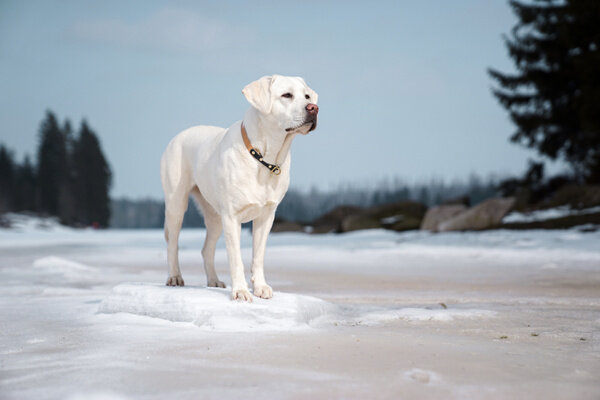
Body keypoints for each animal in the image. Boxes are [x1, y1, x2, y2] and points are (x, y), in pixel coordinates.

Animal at [159, 74, 318, 300]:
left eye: (307, 96)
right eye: (287, 95)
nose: (314, 108)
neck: (264, 156)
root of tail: (178, 135)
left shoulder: (266, 217)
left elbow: (258, 256)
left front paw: (261, 287)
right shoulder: (232, 217)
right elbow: (236, 259)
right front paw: (241, 292)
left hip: (215, 215)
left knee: (206, 250)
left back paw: (214, 281)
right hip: (176, 204)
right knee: (172, 243)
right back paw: (174, 277)